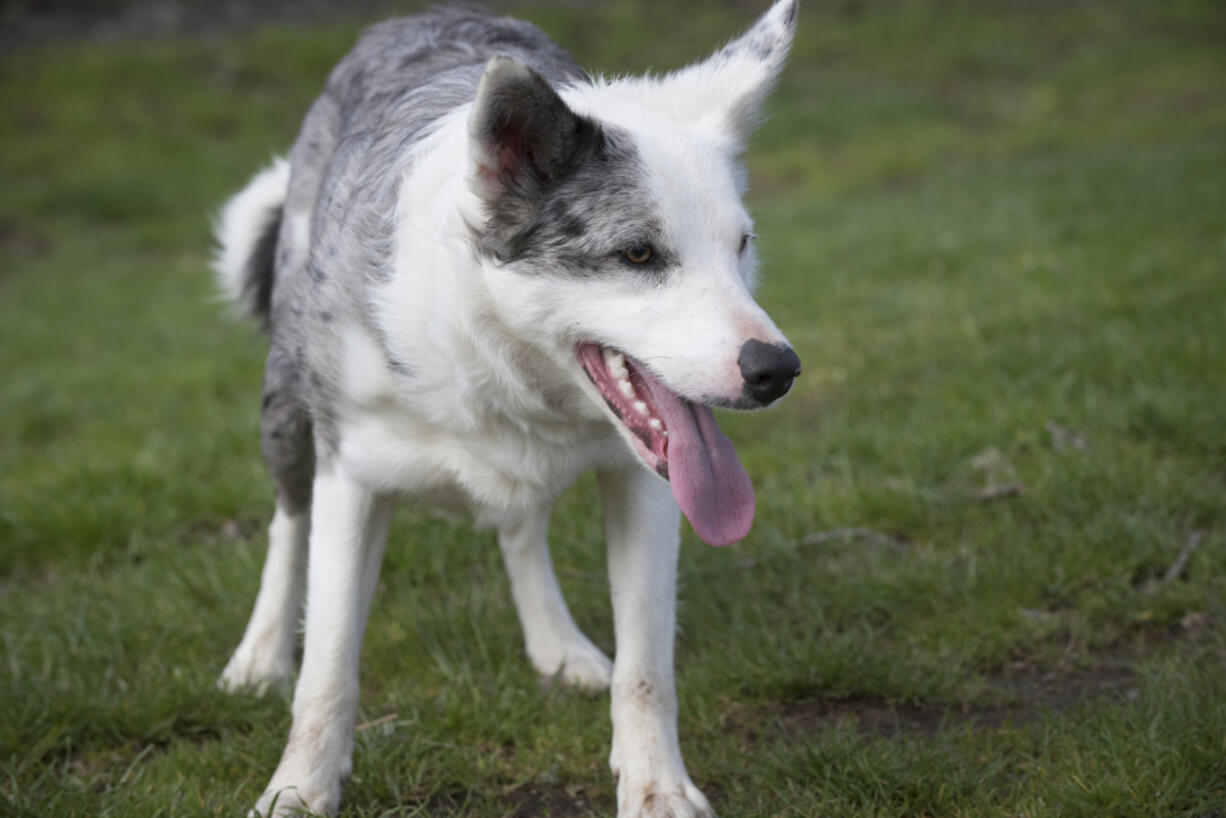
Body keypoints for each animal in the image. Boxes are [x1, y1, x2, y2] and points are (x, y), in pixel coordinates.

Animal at [210, 3, 804, 814]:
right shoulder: (350, 478)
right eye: (638, 254)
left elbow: (646, 666)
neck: (492, 355)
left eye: (741, 245)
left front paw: (657, 787)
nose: (778, 370)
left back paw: (556, 644)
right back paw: (261, 653)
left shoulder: (647, 485)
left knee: (521, 528)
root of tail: (423, 17)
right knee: (286, 522)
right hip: (287, 407)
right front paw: (298, 789)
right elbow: (327, 668)